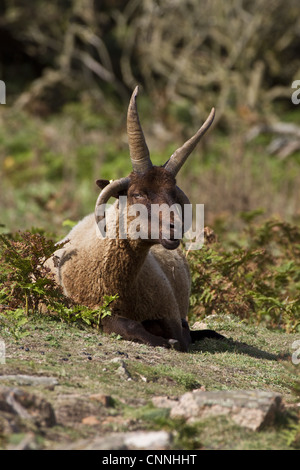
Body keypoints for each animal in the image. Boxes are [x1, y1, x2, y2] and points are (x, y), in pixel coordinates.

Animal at [48, 86, 224, 350]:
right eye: (137, 193)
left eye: (173, 194)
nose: (174, 229)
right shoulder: (90, 312)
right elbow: (130, 327)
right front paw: (161, 339)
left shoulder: (169, 312)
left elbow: (182, 337)